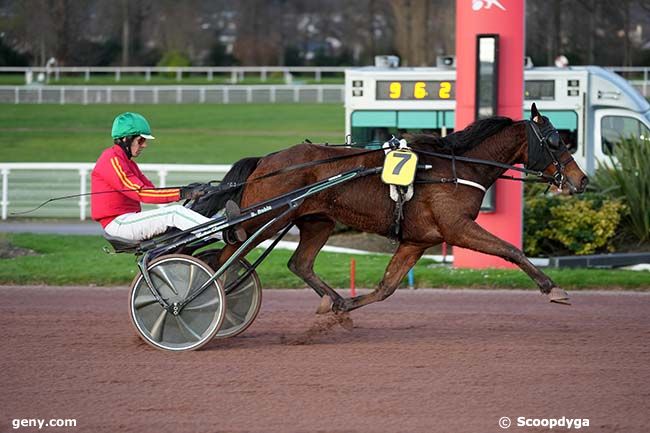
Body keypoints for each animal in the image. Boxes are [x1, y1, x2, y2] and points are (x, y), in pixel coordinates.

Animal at [197, 104, 588, 314]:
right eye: (556, 140)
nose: (581, 179)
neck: (457, 167)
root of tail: (266, 160)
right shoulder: (457, 227)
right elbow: (511, 250)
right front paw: (553, 288)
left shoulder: (417, 241)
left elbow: (387, 287)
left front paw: (344, 307)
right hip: (262, 217)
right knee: (223, 257)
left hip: (317, 220)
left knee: (299, 263)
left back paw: (330, 298)